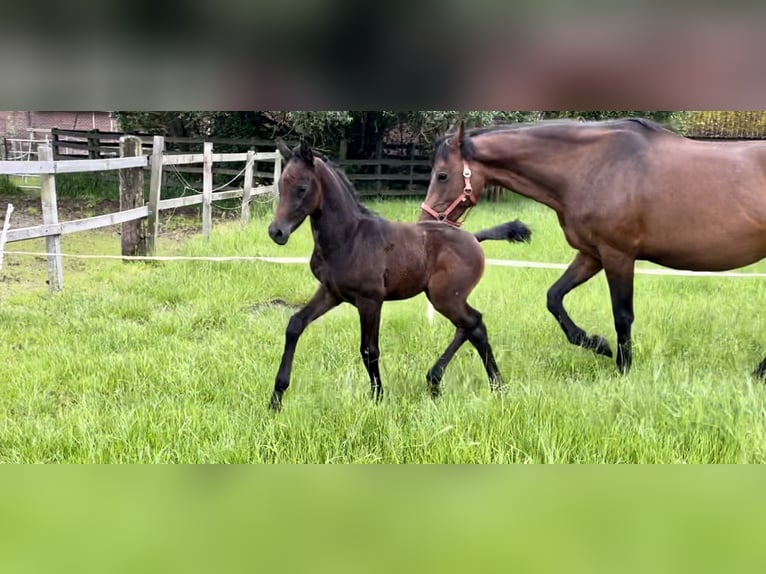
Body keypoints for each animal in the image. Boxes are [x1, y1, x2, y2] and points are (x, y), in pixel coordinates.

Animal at [268, 142, 532, 412]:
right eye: (280, 186)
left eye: (301, 188)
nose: (276, 232)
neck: (349, 237)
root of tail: (474, 238)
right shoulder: (331, 292)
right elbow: (295, 324)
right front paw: (276, 398)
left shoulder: (370, 301)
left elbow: (369, 350)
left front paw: (378, 397)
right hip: (447, 297)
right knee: (471, 326)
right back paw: (448, 381)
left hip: (445, 297)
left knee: (474, 323)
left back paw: (489, 385)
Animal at [424, 119, 766, 376]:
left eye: (442, 175)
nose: (427, 223)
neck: (592, 166)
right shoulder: (591, 255)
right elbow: (554, 298)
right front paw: (597, 344)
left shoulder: (618, 255)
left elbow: (622, 315)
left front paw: (623, 368)